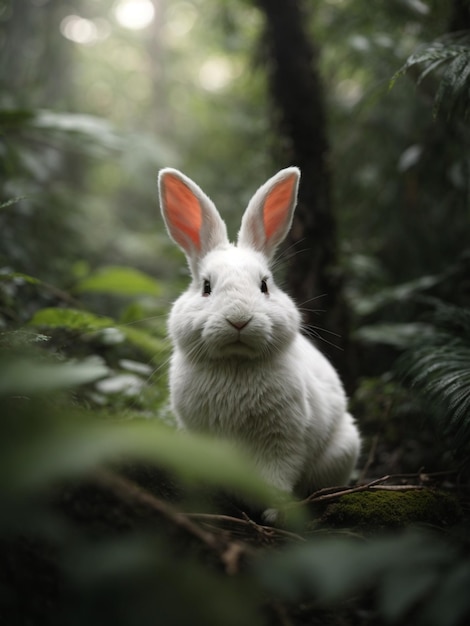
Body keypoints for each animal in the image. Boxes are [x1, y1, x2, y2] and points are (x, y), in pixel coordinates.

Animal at [158, 168, 360, 500]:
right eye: (206, 287)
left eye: (265, 285)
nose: (239, 319)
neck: (235, 363)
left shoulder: (283, 440)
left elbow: (276, 478)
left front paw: (274, 508)